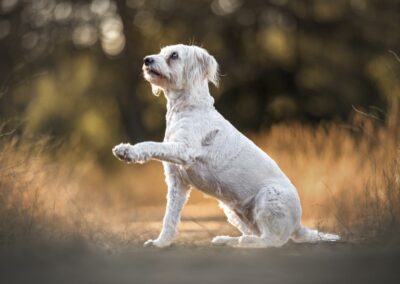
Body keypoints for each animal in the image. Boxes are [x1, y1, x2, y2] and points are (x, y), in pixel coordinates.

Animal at [112, 44, 340, 248]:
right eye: (160, 52)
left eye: (174, 55)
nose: (146, 60)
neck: (187, 107)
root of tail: (298, 224)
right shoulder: (177, 183)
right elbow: (169, 219)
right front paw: (161, 243)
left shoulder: (184, 150)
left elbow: (150, 144)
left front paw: (128, 151)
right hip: (233, 210)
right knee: (259, 234)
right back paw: (227, 240)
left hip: (268, 198)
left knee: (272, 241)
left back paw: (245, 242)